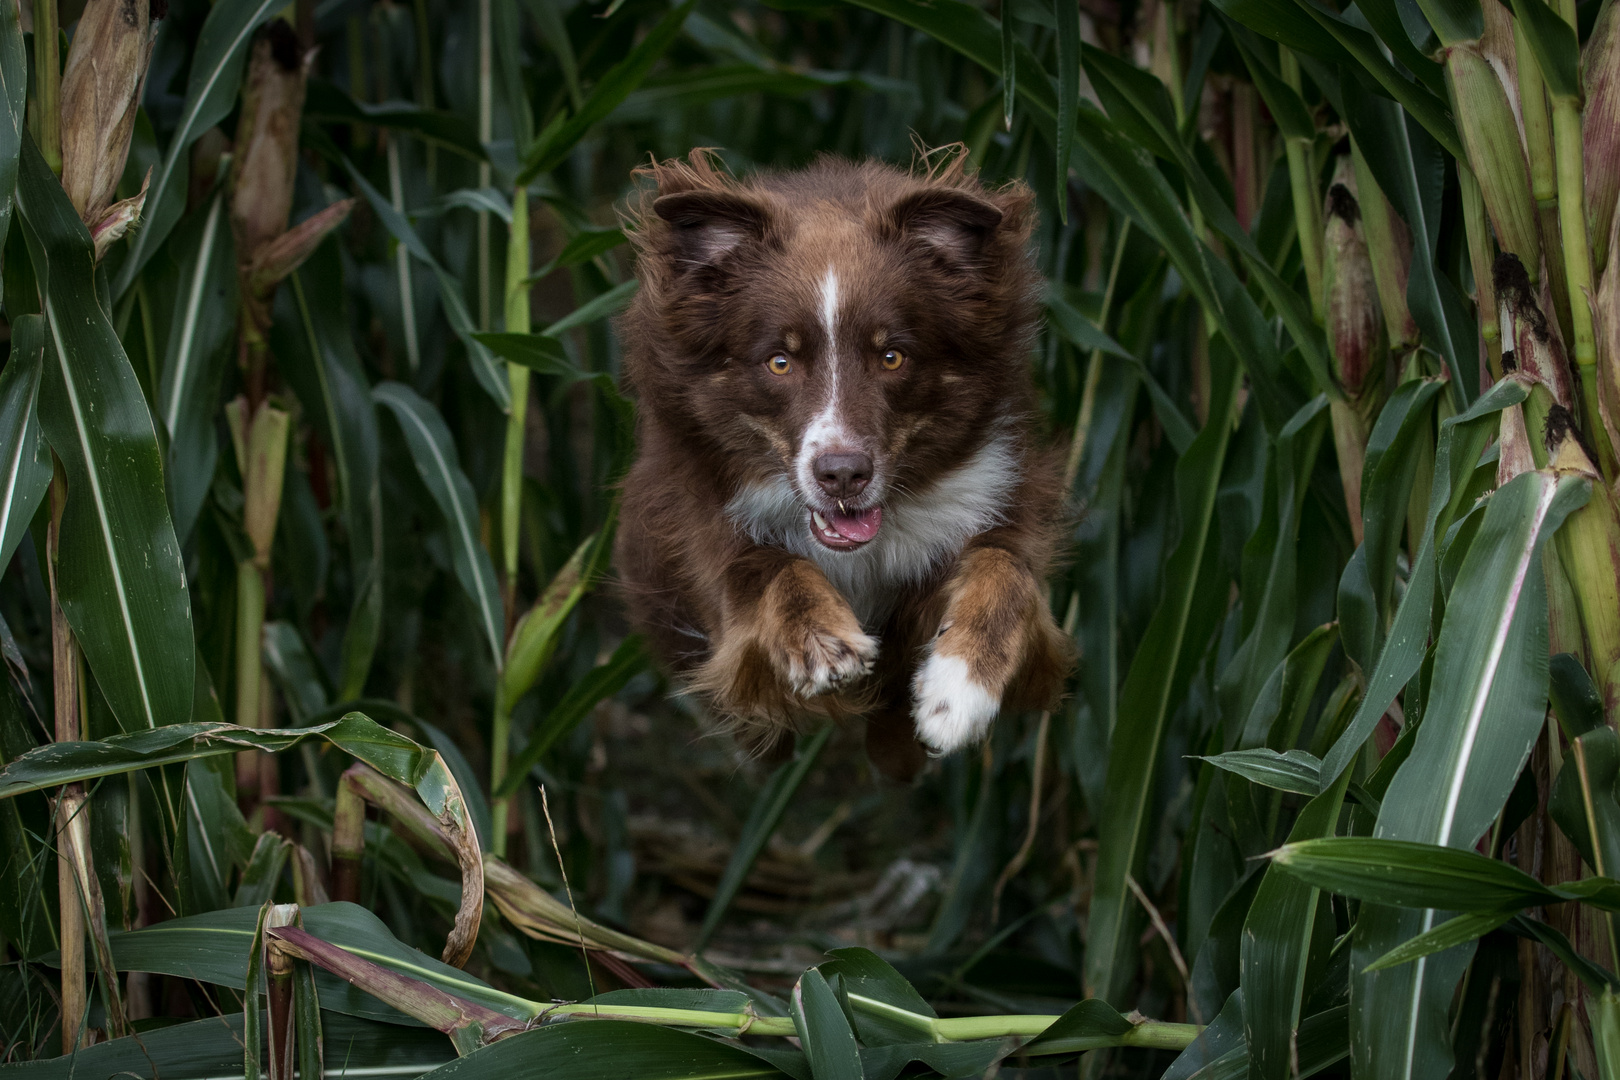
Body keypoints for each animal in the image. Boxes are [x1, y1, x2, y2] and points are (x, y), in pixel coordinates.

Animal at [612, 149, 1069, 777]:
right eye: (779, 361)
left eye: (892, 356)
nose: (843, 475)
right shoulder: (700, 523)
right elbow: (765, 566)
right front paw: (823, 644)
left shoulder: (995, 489)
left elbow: (1006, 569)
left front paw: (956, 696)